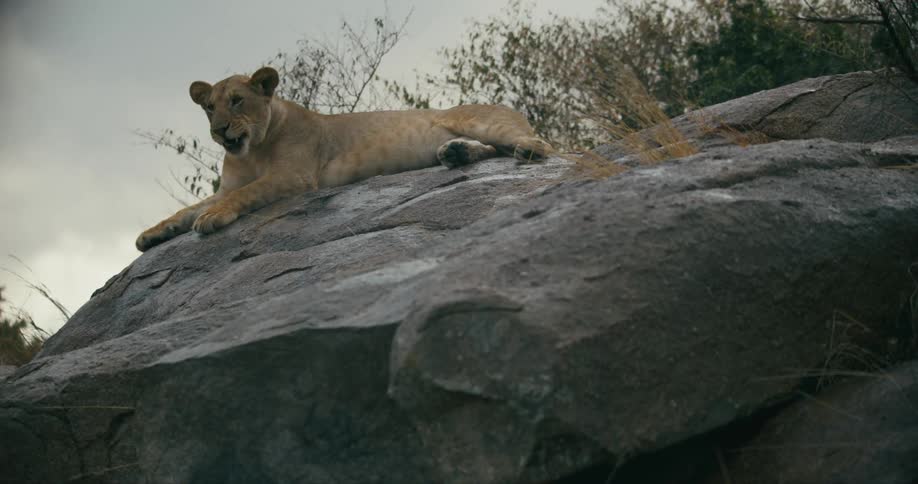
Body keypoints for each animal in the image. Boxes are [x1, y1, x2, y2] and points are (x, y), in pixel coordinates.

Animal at [136, 67, 552, 251]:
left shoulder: (295, 176)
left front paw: (212, 218)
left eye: (237, 101)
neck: (251, 151)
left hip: (482, 121)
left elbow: (244, 194)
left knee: (540, 143)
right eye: (209, 107)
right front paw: (152, 233)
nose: (220, 130)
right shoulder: (229, 184)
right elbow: (184, 209)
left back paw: (528, 150)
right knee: (490, 151)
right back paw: (455, 153)